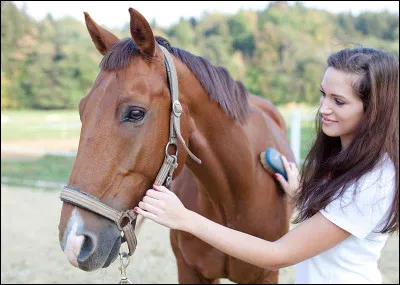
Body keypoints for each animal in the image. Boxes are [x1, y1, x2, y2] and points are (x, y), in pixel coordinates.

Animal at [57, 7, 294, 282]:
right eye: (81, 109)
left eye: (135, 113)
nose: (74, 240)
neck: (235, 196)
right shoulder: (189, 269)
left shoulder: (266, 275)